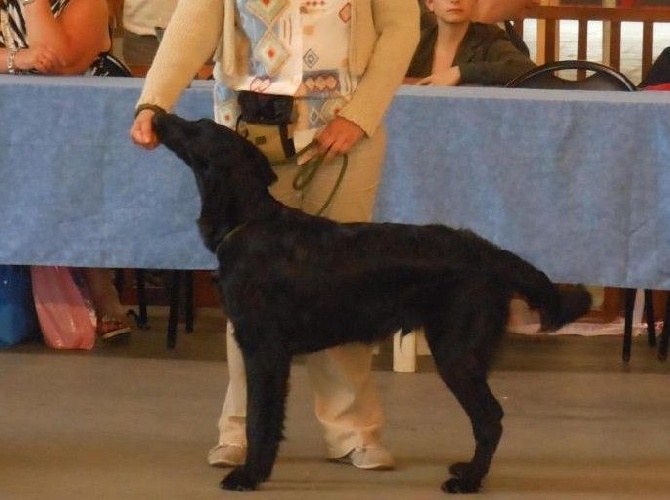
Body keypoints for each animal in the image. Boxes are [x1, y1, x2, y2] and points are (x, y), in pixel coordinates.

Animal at [152, 112, 592, 492]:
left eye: (196, 126)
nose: (156, 114)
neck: (249, 222)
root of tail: (492, 253)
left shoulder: (264, 348)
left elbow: (260, 419)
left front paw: (249, 475)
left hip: (456, 352)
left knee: (490, 418)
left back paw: (468, 481)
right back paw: (467, 470)